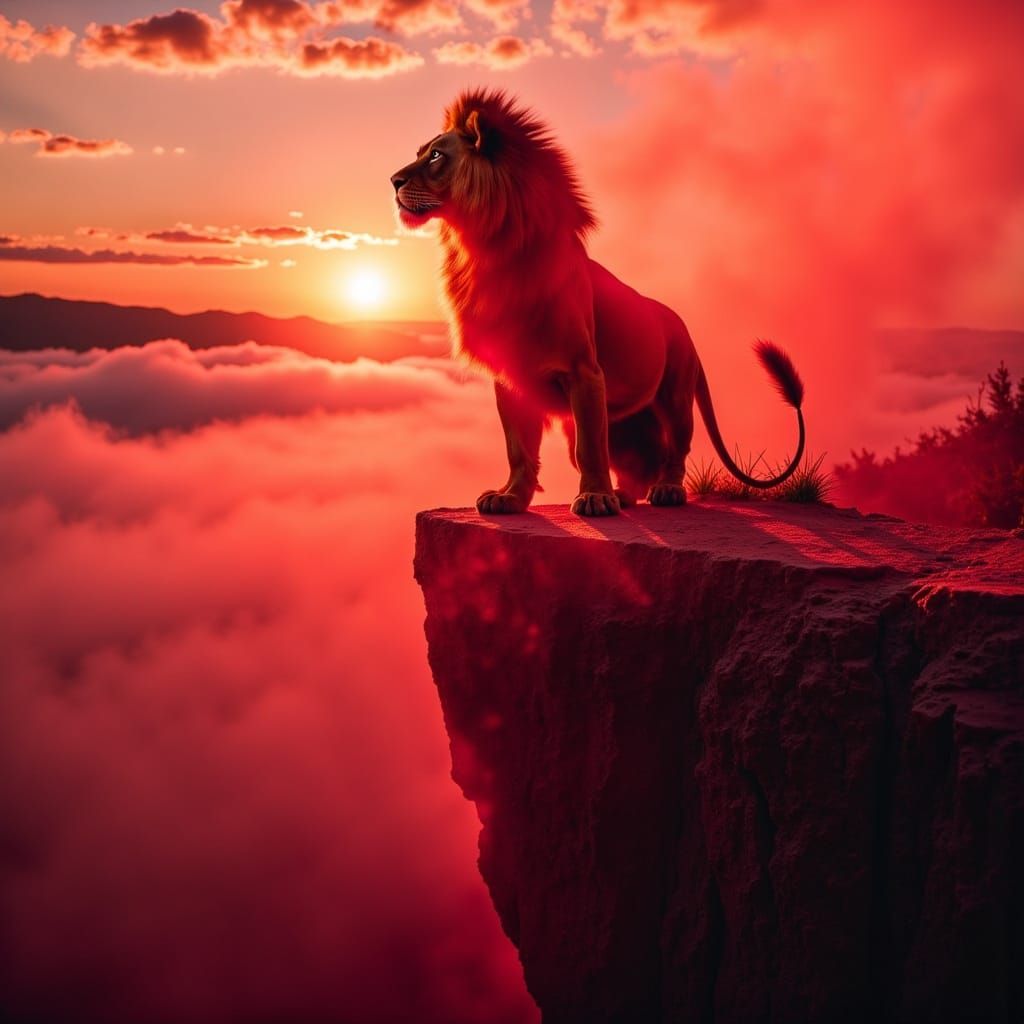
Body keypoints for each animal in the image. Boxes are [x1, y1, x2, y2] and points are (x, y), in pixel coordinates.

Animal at [390, 89, 805, 517]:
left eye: (436, 156)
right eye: (422, 152)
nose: (393, 181)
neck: (485, 253)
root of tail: (679, 322)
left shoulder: (584, 372)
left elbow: (589, 447)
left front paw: (594, 498)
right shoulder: (510, 380)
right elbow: (518, 448)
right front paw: (510, 498)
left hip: (675, 397)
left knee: (674, 451)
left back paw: (666, 491)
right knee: (641, 461)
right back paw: (624, 494)